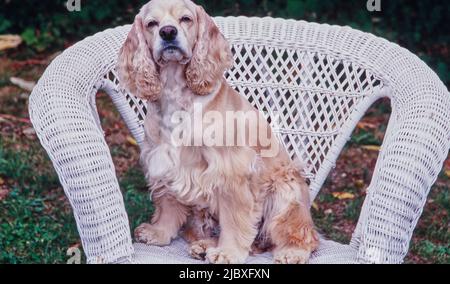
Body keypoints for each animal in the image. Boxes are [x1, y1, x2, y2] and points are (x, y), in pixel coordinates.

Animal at [118, 0, 318, 264]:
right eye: (152, 23)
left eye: (186, 19)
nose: (168, 32)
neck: (175, 93)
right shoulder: (164, 161)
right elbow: (168, 205)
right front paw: (159, 232)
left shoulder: (231, 171)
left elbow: (233, 219)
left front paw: (228, 252)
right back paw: (204, 245)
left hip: (286, 188)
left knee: (300, 232)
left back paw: (292, 251)